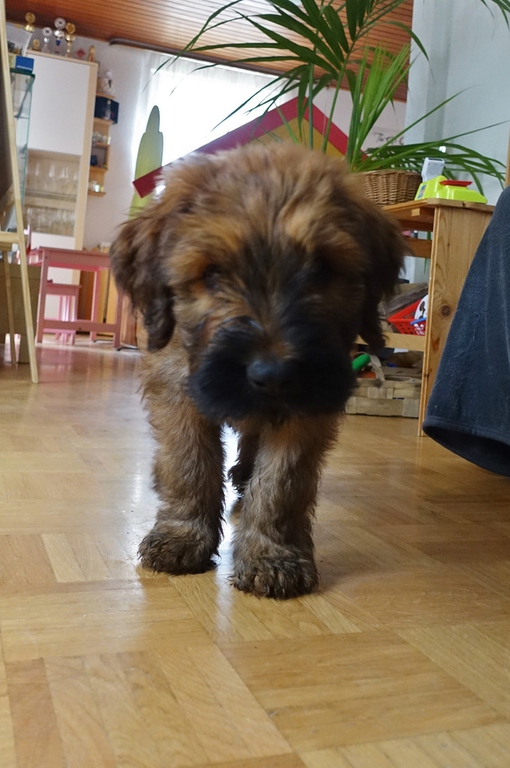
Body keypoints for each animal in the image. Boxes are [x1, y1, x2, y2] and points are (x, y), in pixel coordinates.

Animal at [109, 142, 406, 599]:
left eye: (323, 270)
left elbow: (281, 483)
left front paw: (272, 554)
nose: (274, 374)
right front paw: (182, 535)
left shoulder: (308, 407)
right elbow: (189, 465)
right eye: (212, 273)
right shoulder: (177, 391)